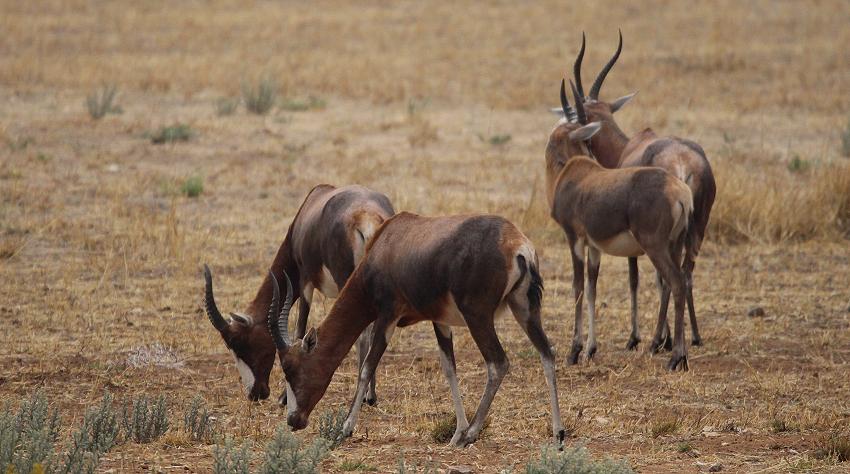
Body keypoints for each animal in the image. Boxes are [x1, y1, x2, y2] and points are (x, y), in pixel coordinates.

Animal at [204, 183, 392, 402]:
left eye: (237, 343)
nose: (254, 394)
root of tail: (366, 219)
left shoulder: (305, 281)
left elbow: (299, 331)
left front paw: (284, 398)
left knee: (362, 336)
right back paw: (370, 396)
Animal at [264, 213, 564, 446]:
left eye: (290, 368)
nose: (294, 420)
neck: (388, 242)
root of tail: (517, 244)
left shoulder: (388, 316)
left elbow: (367, 367)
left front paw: (346, 427)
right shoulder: (440, 321)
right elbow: (449, 370)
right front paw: (456, 432)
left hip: (478, 316)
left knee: (498, 363)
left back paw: (472, 434)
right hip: (524, 309)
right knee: (547, 353)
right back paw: (558, 433)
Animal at [548, 79, 692, 370]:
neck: (574, 173)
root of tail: (678, 190)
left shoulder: (574, 239)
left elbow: (578, 287)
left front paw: (574, 351)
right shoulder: (594, 247)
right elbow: (592, 289)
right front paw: (590, 349)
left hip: (655, 247)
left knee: (675, 282)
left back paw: (674, 357)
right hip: (675, 245)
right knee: (678, 280)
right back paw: (676, 354)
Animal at [556, 31, 716, 350]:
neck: (629, 146)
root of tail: (685, 164)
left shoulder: (632, 243)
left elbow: (635, 279)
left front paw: (635, 337)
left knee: (669, 278)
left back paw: (656, 341)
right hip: (696, 229)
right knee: (686, 273)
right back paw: (692, 336)